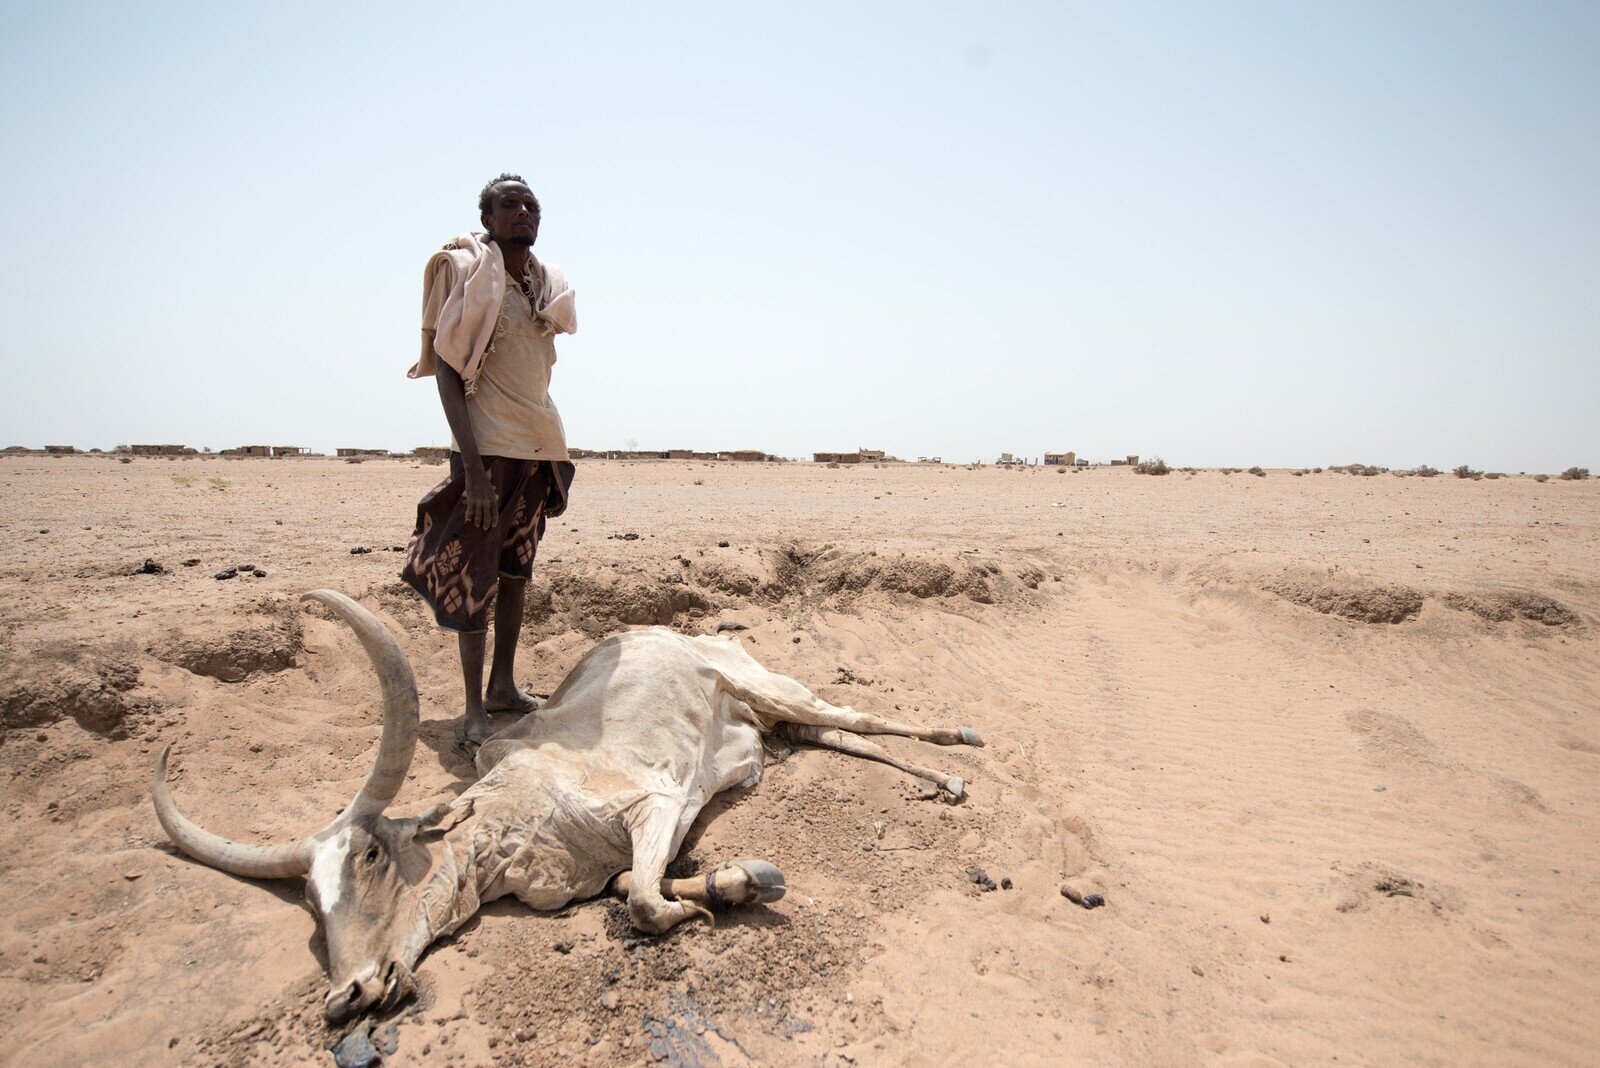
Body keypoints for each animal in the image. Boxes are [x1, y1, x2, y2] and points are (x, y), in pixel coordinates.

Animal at [150, 591, 979, 1016]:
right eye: (311, 906)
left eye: (373, 856)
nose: (348, 995)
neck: (506, 833)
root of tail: (685, 632)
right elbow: (636, 885)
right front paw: (735, 884)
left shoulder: (656, 800)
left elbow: (642, 898)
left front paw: (700, 908)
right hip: (774, 723)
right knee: (837, 736)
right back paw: (939, 779)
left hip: (767, 687)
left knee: (860, 718)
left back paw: (960, 747)